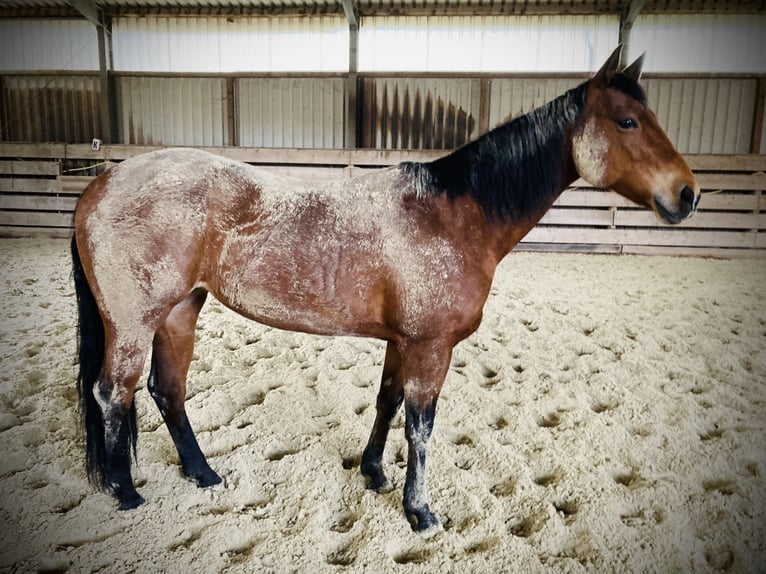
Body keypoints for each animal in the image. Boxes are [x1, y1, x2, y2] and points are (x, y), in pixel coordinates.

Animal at [72, 46, 704, 540]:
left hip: (180, 310)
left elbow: (387, 402)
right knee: (113, 393)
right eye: (627, 121)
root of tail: (104, 180)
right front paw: (419, 511)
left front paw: (373, 473)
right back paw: (126, 491)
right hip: (133, 323)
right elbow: (420, 425)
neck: (453, 215)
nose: (688, 193)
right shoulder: (431, 347)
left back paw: (203, 474)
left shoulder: (404, 341)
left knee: (167, 391)